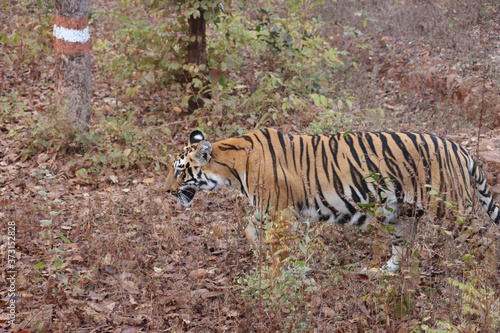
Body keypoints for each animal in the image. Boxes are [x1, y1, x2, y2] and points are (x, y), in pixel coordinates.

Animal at [167, 127, 500, 270]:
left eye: (180, 170)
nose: (167, 191)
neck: (231, 168)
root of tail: (461, 149)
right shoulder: (270, 210)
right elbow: (249, 230)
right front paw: (261, 251)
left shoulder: (281, 214)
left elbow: (278, 252)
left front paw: (276, 277)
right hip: (401, 213)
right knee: (403, 246)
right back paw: (384, 273)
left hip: (452, 210)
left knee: (485, 242)